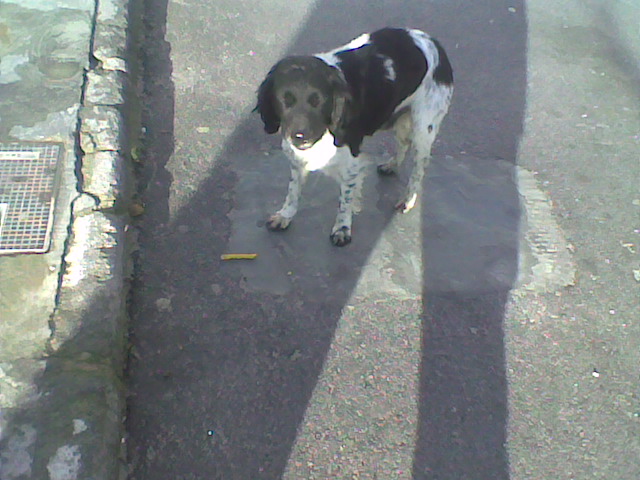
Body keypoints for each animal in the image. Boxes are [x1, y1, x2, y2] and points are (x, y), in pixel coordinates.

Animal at [255, 27, 456, 246]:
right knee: (403, 144)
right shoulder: (298, 159)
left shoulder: (351, 161)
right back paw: (392, 165)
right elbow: (293, 191)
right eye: (285, 100)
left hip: (423, 129)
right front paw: (285, 215)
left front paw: (342, 228)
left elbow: (345, 198)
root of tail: (432, 41)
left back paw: (408, 199)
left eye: (319, 101)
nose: (300, 136)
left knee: (419, 168)